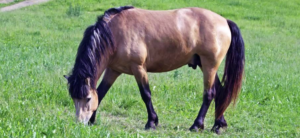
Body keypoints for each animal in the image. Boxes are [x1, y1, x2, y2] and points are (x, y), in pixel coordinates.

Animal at [63, 5, 244, 134]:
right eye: (74, 98)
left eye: (87, 98)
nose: (80, 123)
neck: (115, 32)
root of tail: (224, 21)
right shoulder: (113, 70)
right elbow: (101, 93)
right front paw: (92, 120)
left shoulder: (139, 68)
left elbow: (146, 95)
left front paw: (151, 122)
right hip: (206, 65)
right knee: (220, 92)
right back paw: (218, 125)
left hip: (209, 65)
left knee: (209, 94)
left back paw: (196, 125)